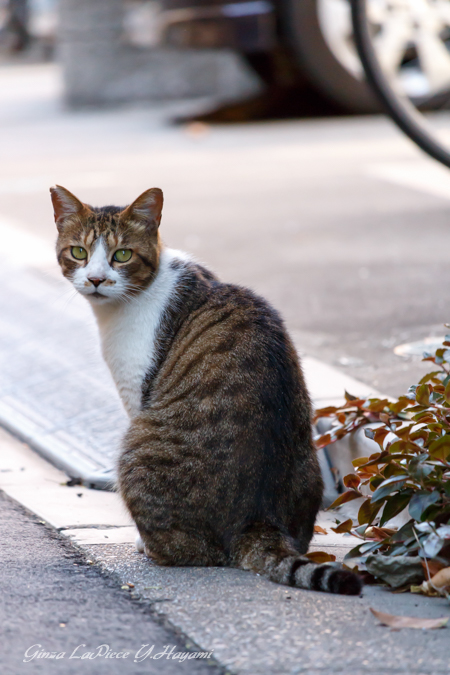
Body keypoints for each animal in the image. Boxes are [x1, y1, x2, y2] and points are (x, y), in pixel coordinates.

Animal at [51, 185, 362, 596]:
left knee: (190, 551)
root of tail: (258, 520)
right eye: (79, 252)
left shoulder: (137, 392)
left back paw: (149, 546)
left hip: (137, 444)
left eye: (122, 255)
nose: (97, 279)